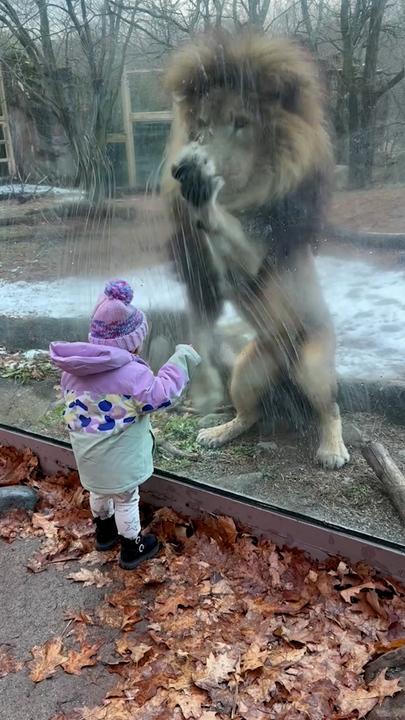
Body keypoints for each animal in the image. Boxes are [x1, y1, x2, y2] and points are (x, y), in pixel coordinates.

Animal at [159, 28, 348, 470]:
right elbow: (200, 314)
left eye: (241, 123)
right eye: (201, 126)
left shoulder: (263, 251)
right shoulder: (204, 277)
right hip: (249, 368)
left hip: (314, 361)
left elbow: (229, 231)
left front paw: (203, 190)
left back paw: (332, 449)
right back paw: (218, 431)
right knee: (250, 414)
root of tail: (286, 366)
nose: (182, 167)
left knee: (329, 407)